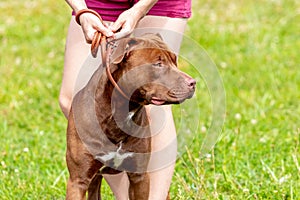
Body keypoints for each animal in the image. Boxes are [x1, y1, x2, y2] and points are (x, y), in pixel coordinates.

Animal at [66, 33, 196, 199]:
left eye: (175, 61)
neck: (120, 114)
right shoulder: (78, 180)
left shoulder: (139, 176)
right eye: (158, 64)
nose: (193, 83)